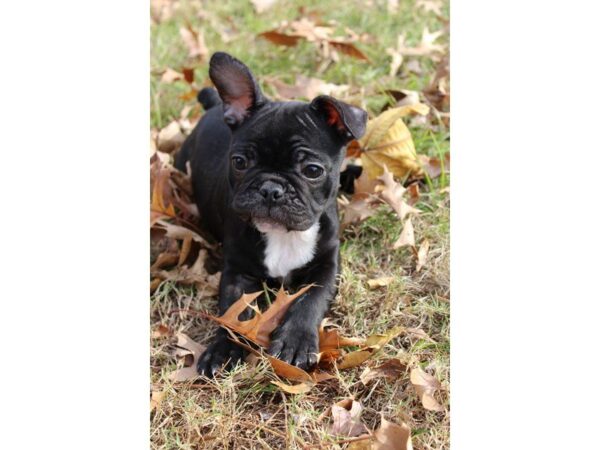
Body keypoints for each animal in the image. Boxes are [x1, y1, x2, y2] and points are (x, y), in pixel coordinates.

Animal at [173, 51, 368, 376]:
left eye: (312, 170)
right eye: (239, 162)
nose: (271, 188)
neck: (282, 235)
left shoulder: (327, 268)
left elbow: (309, 302)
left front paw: (295, 342)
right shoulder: (237, 272)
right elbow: (234, 311)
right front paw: (223, 350)